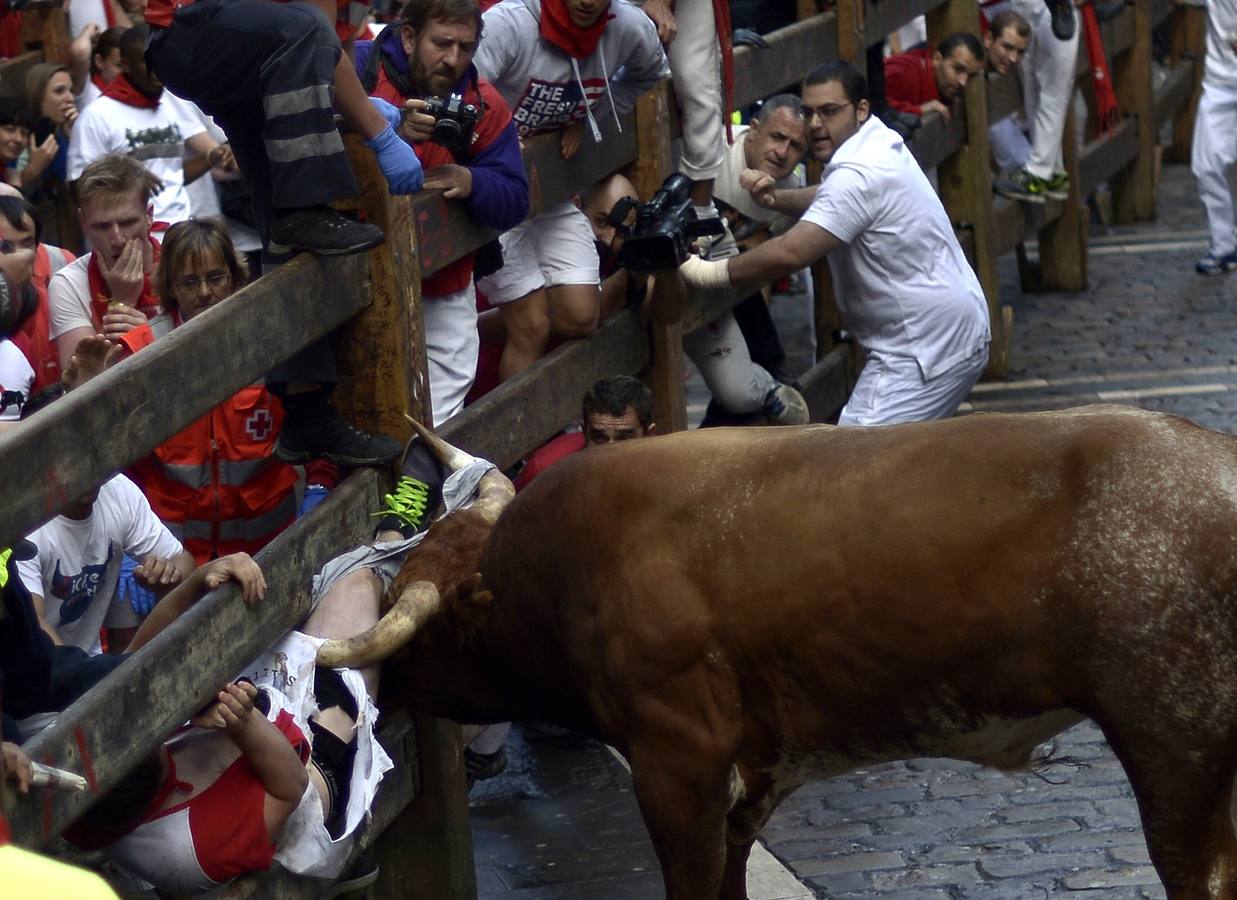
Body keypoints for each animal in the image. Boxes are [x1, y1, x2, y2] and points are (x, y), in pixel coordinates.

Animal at [324, 407, 1237, 900]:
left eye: (419, 621)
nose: (378, 689)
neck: (557, 571)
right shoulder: (751, 778)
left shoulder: (679, 766)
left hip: (1175, 738)